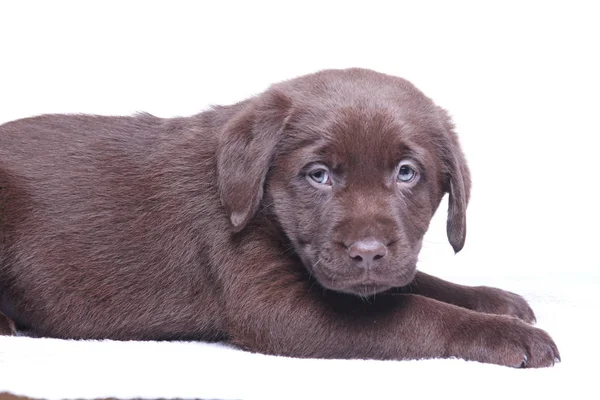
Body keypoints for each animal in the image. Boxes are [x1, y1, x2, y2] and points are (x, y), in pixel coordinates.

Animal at [0, 68, 556, 366]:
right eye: (318, 175)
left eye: (406, 173)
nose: (367, 254)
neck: (264, 211)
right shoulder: (276, 307)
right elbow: (413, 309)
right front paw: (510, 335)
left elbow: (418, 283)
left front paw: (496, 301)